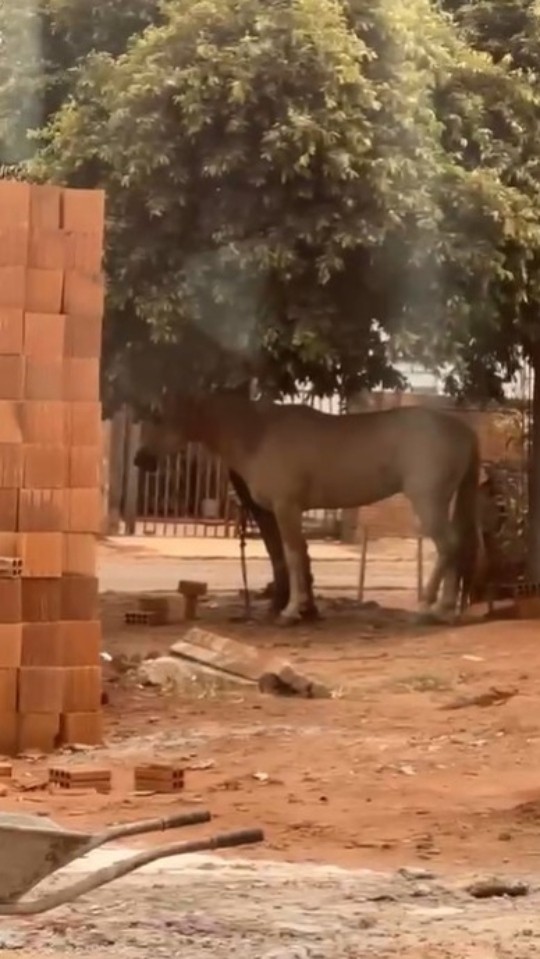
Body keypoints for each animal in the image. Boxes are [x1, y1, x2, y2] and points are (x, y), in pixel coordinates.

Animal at [136, 396, 486, 628]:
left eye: (158, 417)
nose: (141, 460)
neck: (260, 434)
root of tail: (463, 430)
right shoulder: (291, 511)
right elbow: (301, 557)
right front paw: (305, 610)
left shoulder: (287, 507)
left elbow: (291, 557)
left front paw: (291, 612)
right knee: (455, 547)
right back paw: (445, 609)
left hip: (428, 501)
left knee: (448, 547)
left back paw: (427, 607)